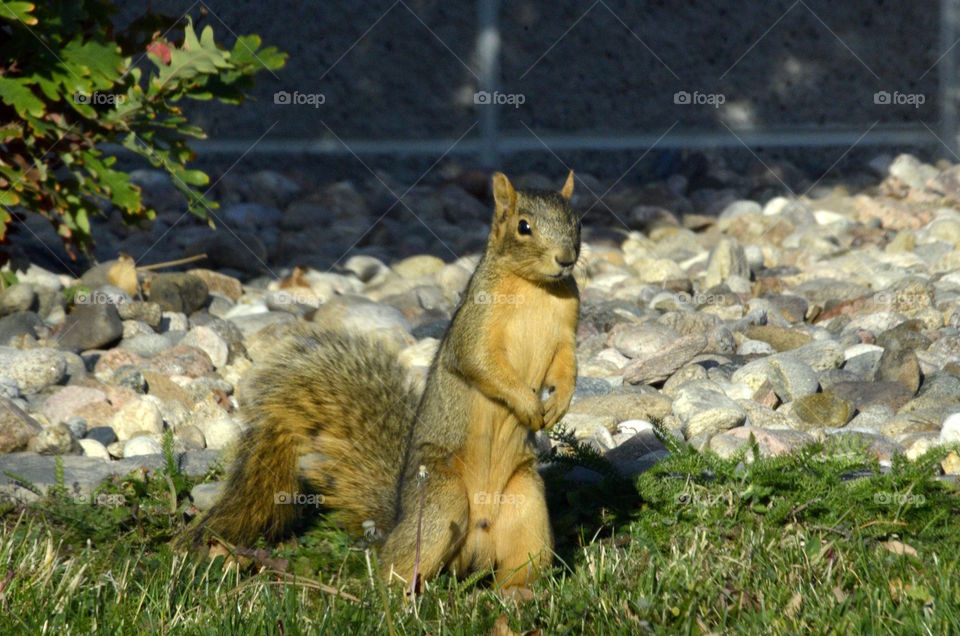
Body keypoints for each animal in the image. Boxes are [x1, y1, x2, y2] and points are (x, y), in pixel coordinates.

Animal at [188, 170, 581, 590]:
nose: (565, 259)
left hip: (527, 506)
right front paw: (527, 403)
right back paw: (399, 593)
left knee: (521, 564)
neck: (536, 288)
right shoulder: (476, 325)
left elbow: (568, 367)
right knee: (398, 562)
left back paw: (518, 595)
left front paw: (559, 403)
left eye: (577, 221)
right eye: (523, 227)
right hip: (441, 499)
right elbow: (479, 362)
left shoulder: (566, 332)